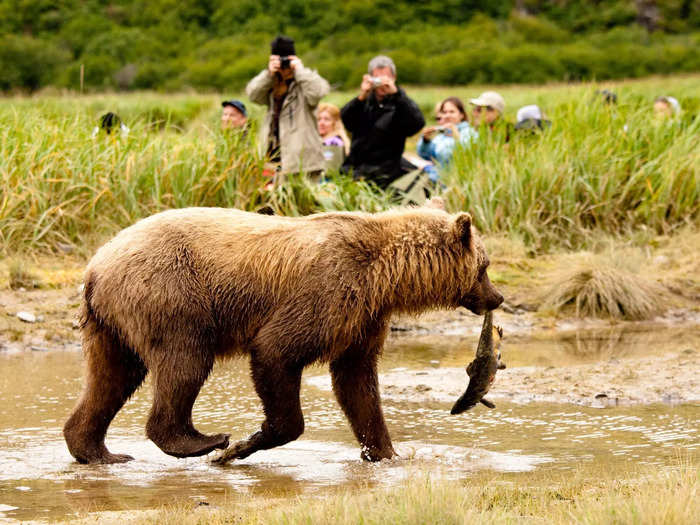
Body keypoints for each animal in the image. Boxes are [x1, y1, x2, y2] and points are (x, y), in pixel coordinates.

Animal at [63, 201, 504, 462]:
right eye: (484, 265)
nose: (497, 297)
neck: (385, 275)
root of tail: (96, 265)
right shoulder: (327, 291)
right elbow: (277, 351)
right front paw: (247, 443)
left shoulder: (362, 318)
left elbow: (357, 382)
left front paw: (384, 451)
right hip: (172, 294)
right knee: (183, 362)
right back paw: (203, 440)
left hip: (111, 323)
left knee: (111, 378)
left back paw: (96, 450)